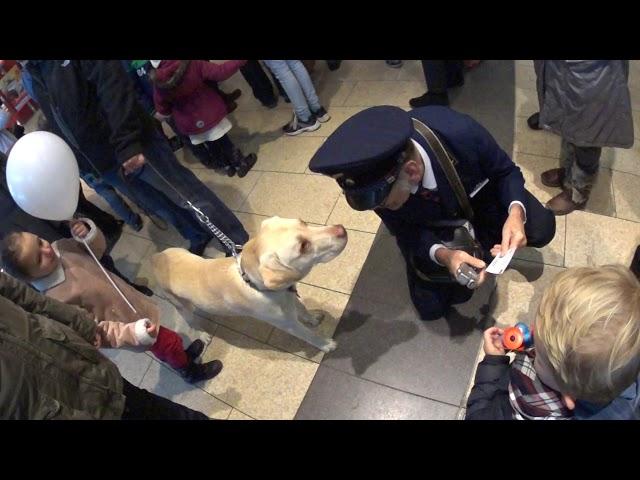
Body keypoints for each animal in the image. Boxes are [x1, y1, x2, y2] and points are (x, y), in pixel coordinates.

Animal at [152, 218, 348, 352]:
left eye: (303, 222)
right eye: (303, 246)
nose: (341, 229)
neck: (255, 285)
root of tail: (157, 257)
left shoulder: (290, 293)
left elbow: (302, 309)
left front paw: (312, 318)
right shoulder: (288, 324)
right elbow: (308, 335)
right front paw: (325, 344)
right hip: (181, 307)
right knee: (191, 322)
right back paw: (202, 335)